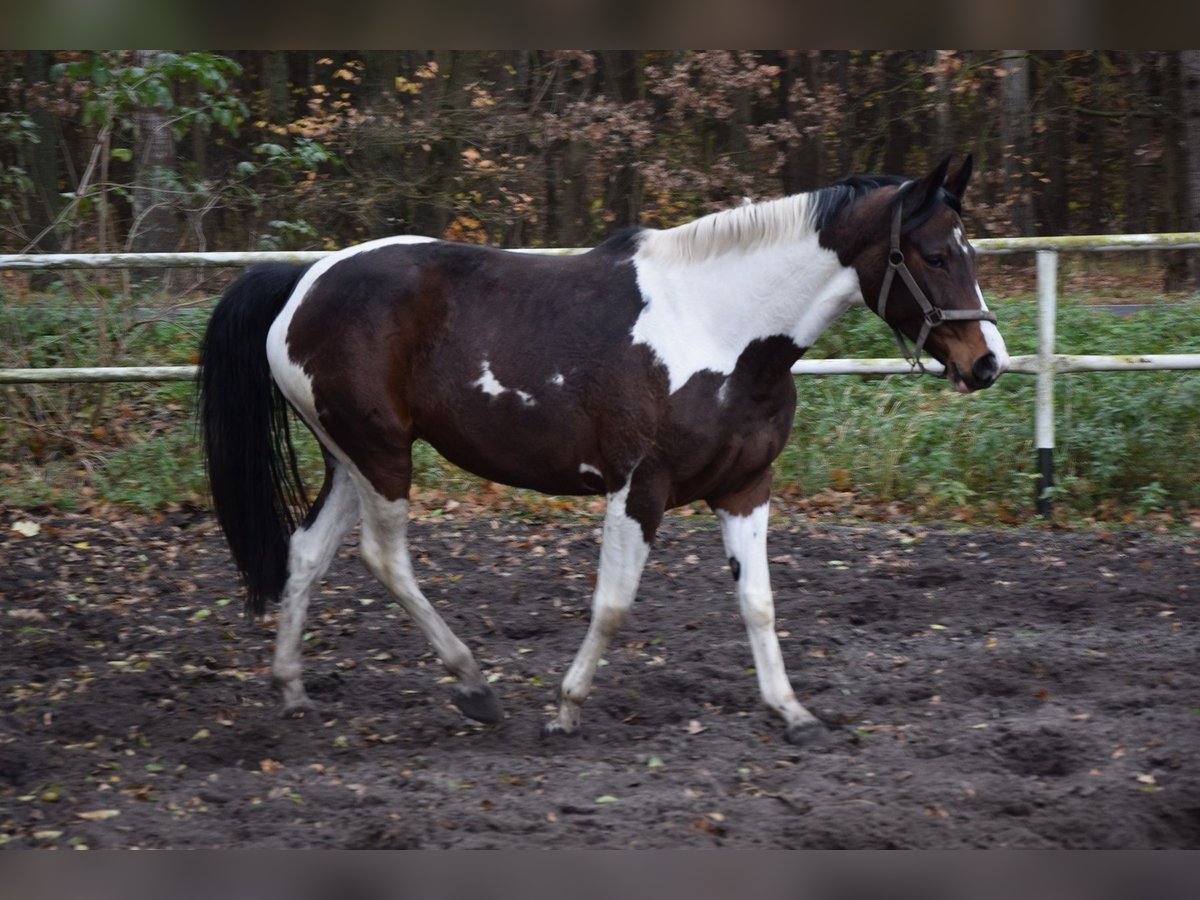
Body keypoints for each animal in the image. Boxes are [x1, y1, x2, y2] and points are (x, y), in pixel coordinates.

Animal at [196, 157, 1003, 748]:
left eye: (968, 251)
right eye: (935, 255)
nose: (987, 363)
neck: (722, 328)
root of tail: (303, 280)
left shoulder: (747, 487)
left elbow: (759, 603)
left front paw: (792, 712)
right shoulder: (638, 489)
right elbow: (613, 604)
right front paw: (567, 707)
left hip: (349, 458)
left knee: (307, 552)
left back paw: (293, 689)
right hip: (384, 456)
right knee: (384, 558)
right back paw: (474, 687)